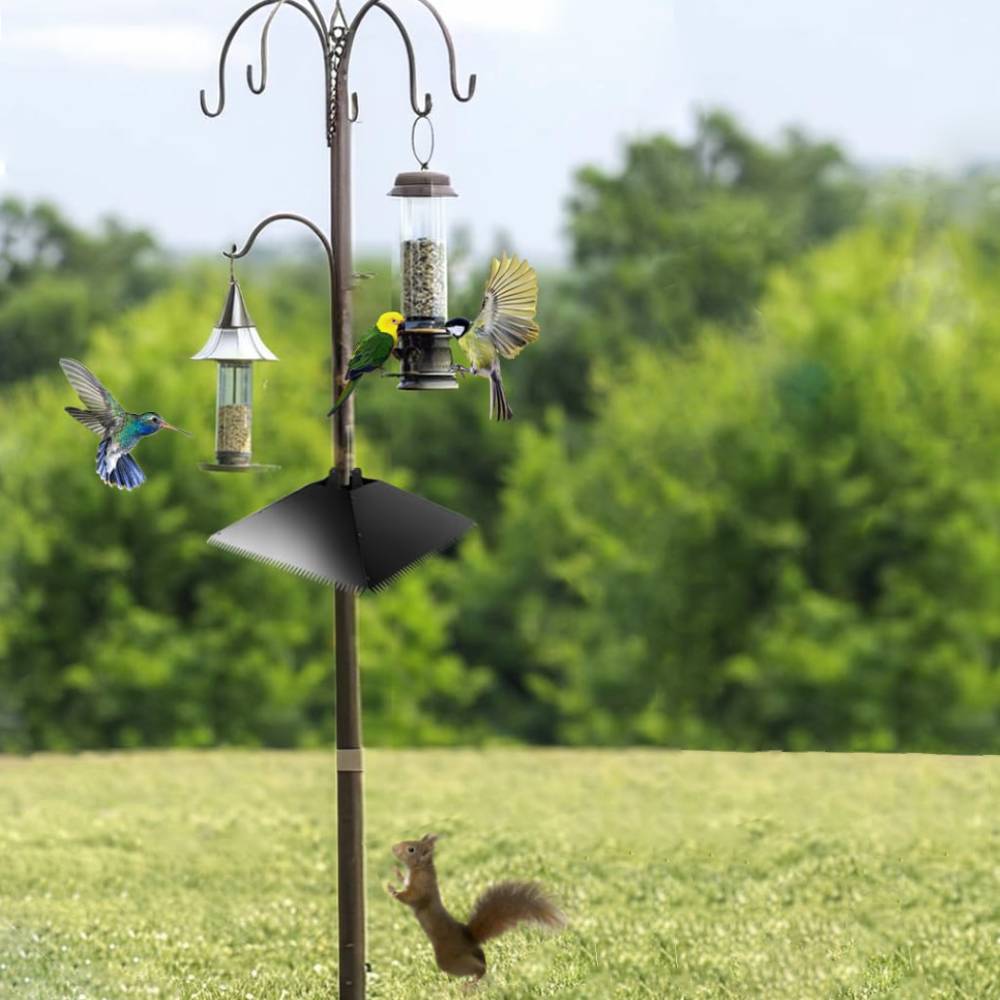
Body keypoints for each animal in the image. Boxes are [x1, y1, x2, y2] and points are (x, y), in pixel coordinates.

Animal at [387, 833, 566, 983]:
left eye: (411, 849)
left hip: (448, 959)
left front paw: (393, 891)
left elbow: (411, 898)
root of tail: (470, 939)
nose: (393, 847)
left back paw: (470, 984)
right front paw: (397, 873)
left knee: (479, 969)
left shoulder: (421, 888)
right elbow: (404, 882)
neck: (421, 868)